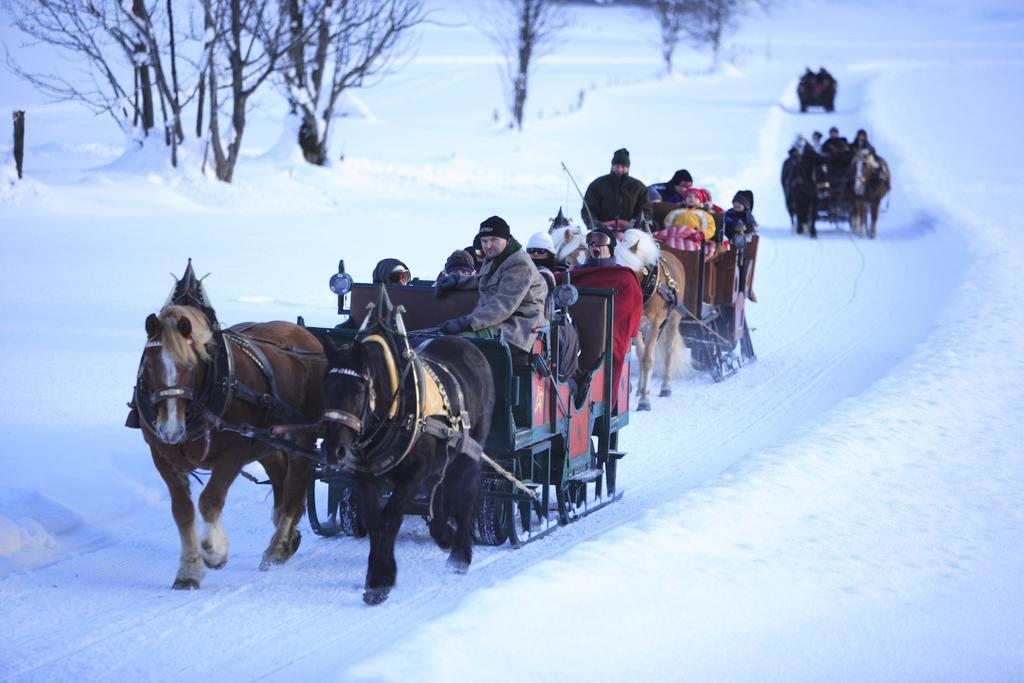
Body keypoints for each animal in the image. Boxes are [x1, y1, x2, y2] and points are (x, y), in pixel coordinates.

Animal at [133, 270, 323, 589]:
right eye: (147, 366)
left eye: (190, 366)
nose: (170, 430)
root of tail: (304, 333)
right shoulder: (162, 456)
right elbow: (182, 511)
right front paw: (188, 570)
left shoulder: (233, 452)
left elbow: (210, 500)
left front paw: (214, 552)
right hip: (268, 441)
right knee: (280, 478)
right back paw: (286, 537)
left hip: (302, 434)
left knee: (295, 483)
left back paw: (278, 545)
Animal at [321, 290, 493, 606]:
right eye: (324, 385)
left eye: (359, 390)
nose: (334, 450)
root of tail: (468, 346)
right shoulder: (363, 474)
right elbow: (374, 520)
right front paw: (375, 577)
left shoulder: (413, 473)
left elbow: (390, 518)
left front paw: (381, 579)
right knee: (441, 488)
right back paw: (443, 534)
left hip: (470, 447)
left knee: (466, 493)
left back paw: (459, 555)